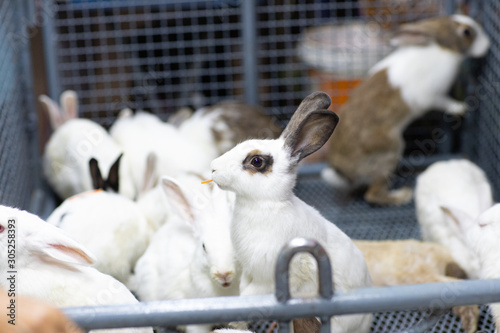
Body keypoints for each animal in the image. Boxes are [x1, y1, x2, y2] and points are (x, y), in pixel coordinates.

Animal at [209, 91, 374, 332]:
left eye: (256, 161)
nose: (213, 167)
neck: (265, 204)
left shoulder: (266, 280)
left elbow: (248, 298)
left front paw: (234, 322)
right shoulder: (249, 273)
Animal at [322, 14, 490, 205]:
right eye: (467, 32)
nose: (487, 44)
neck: (441, 48)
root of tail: (341, 169)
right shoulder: (433, 96)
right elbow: (445, 103)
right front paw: (461, 108)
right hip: (390, 153)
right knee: (373, 194)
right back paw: (401, 196)